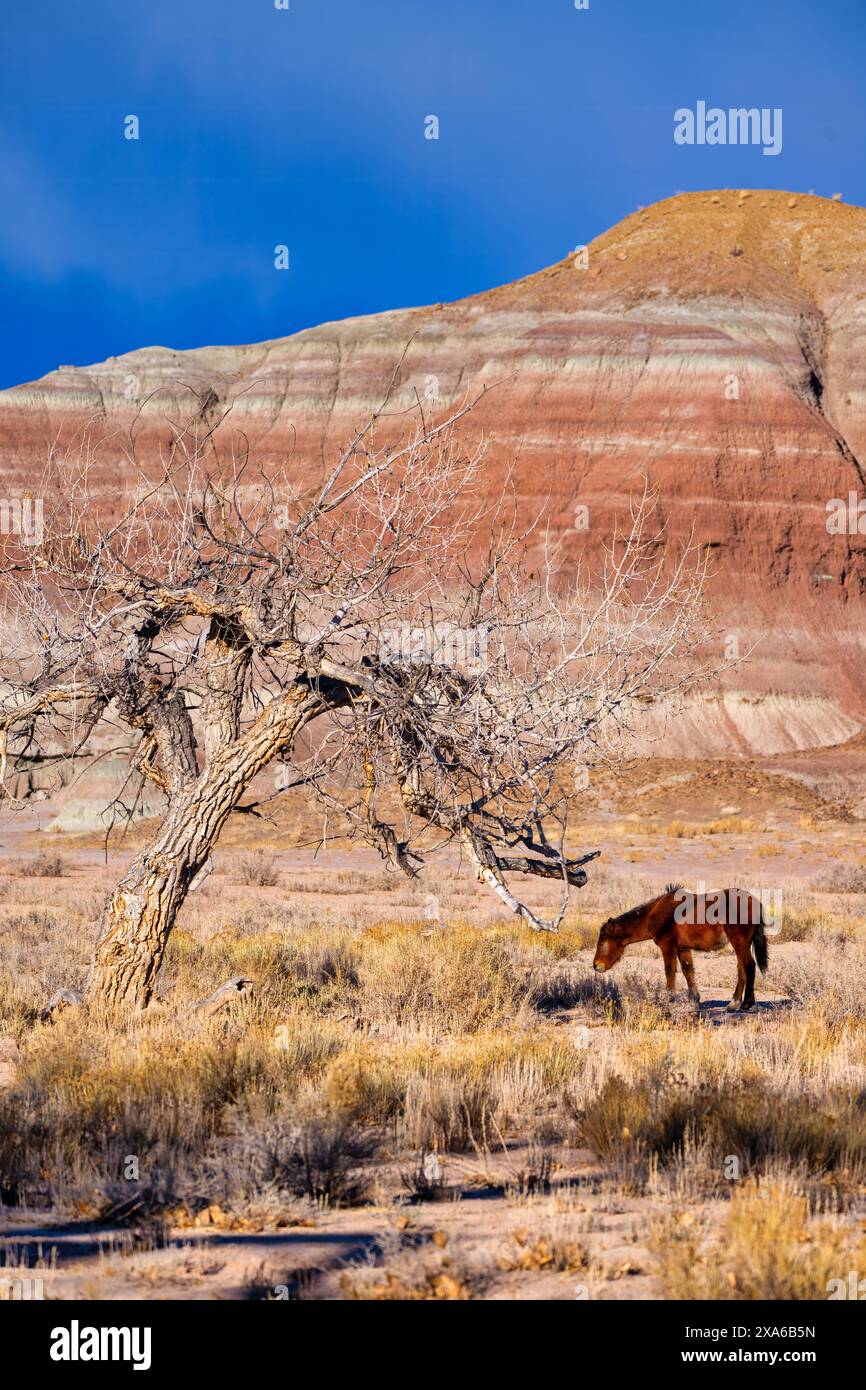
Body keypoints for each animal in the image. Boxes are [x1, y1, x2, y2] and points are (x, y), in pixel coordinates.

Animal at [592, 889, 767, 1011]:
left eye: (602, 940)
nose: (596, 965)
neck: (655, 914)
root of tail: (754, 901)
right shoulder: (683, 949)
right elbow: (688, 971)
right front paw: (694, 999)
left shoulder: (667, 947)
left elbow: (670, 971)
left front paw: (669, 998)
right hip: (742, 943)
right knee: (741, 968)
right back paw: (734, 1003)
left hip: (739, 942)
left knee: (749, 966)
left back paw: (746, 1003)